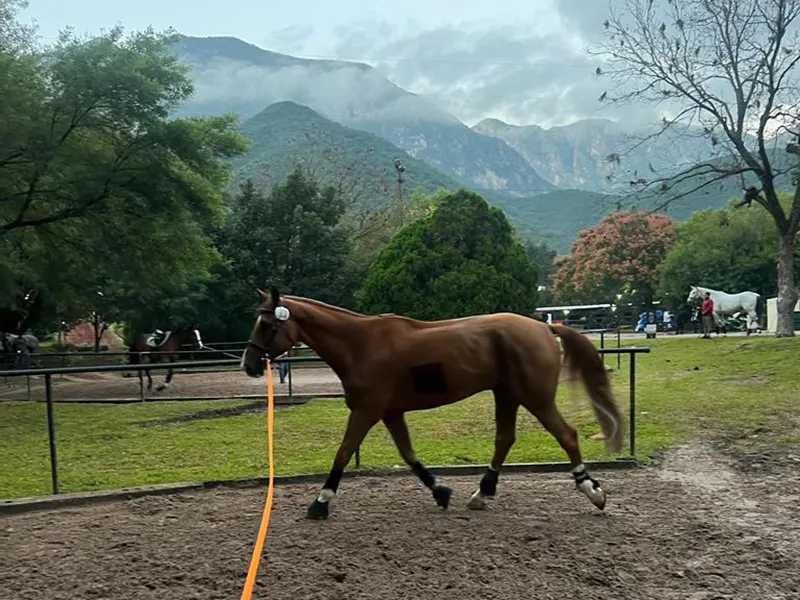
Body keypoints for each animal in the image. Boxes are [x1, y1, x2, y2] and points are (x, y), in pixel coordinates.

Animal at [241, 288, 628, 516]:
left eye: (266, 325)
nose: (248, 364)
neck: (360, 345)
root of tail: (544, 327)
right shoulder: (390, 412)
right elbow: (408, 455)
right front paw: (441, 491)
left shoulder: (367, 410)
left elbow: (344, 451)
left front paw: (320, 502)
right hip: (507, 394)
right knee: (505, 438)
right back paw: (482, 493)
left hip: (535, 396)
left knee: (567, 435)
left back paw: (593, 491)